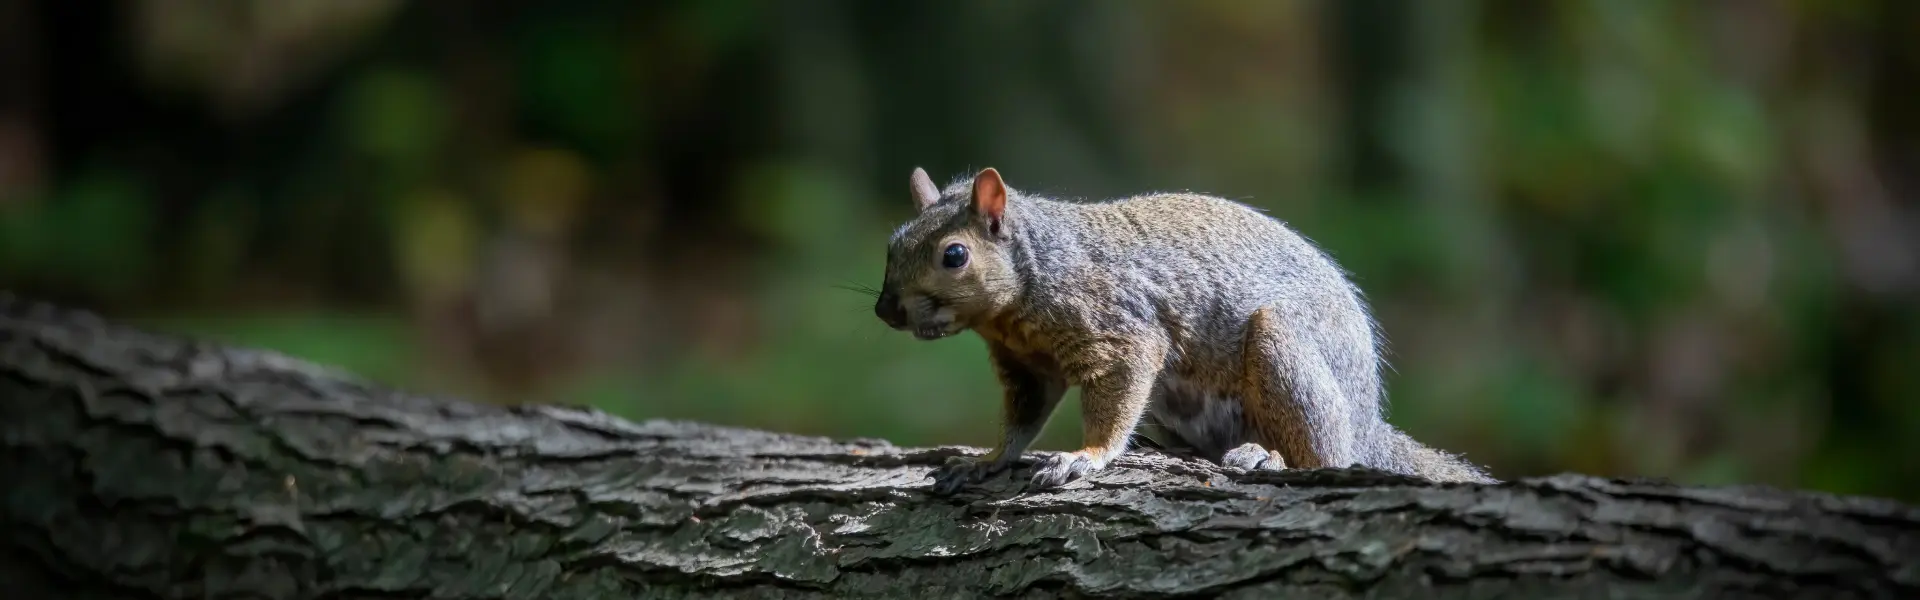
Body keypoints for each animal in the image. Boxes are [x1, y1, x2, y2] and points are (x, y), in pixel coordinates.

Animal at [874, 166, 1497, 494]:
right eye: (893, 243)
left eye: (954, 255)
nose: (885, 311)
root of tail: (1368, 420)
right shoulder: (1025, 367)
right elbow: (1021, 420)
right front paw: (985, 460)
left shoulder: (1120, 330)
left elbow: (1115, 397)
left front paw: (1087, 455)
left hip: (1285, 353)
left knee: (1327, 454)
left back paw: (1268, 458)